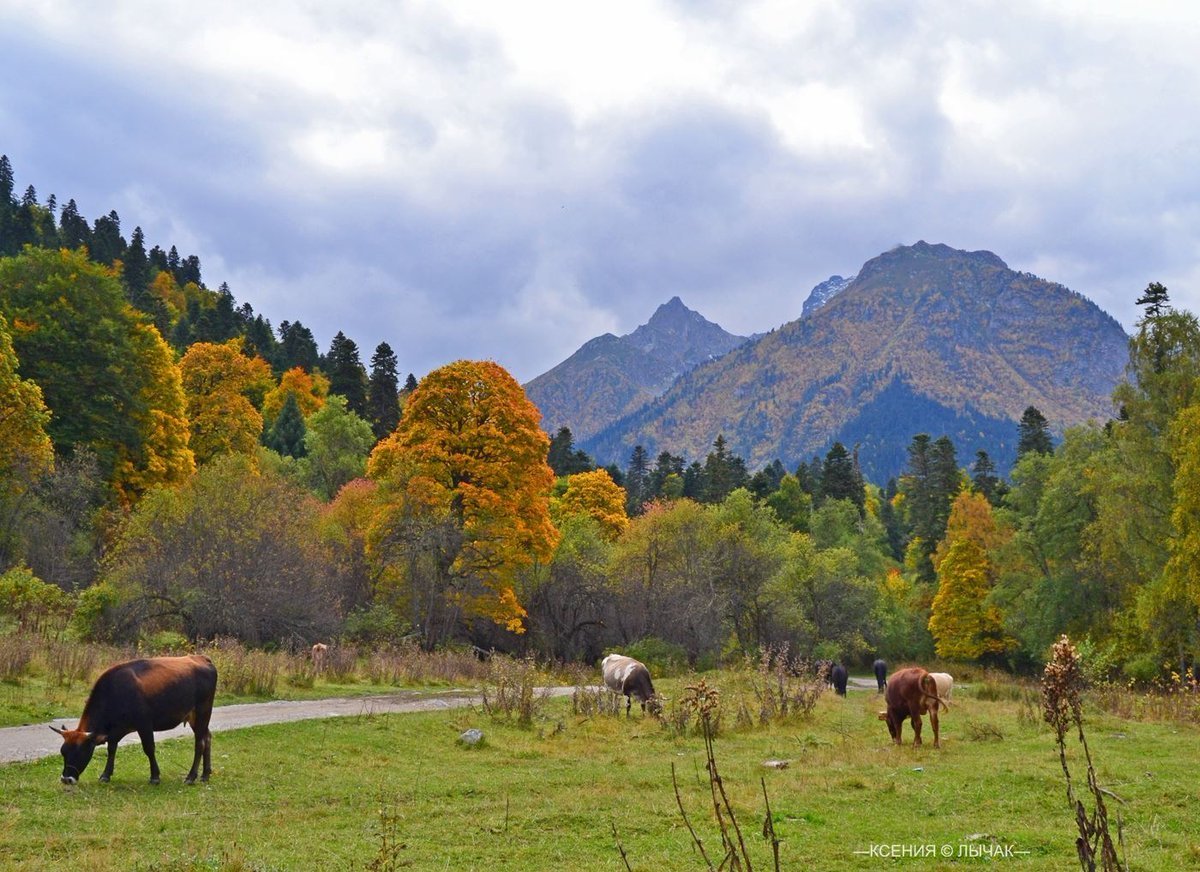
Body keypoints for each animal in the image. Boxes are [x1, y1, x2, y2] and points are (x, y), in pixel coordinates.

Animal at [52, 652, 218, 786]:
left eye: (79, 752)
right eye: (63, 752)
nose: (66, 779)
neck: (115, 691)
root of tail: (202, 658)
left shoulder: (144, 725)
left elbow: (149, 748)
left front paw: (155, 776)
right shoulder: (115, 730)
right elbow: (111, 749)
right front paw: (106, 775)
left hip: (203, 711)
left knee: (200, 743)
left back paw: (191, 777)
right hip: (194, 717)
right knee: (207, 737)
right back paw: (205, 774)